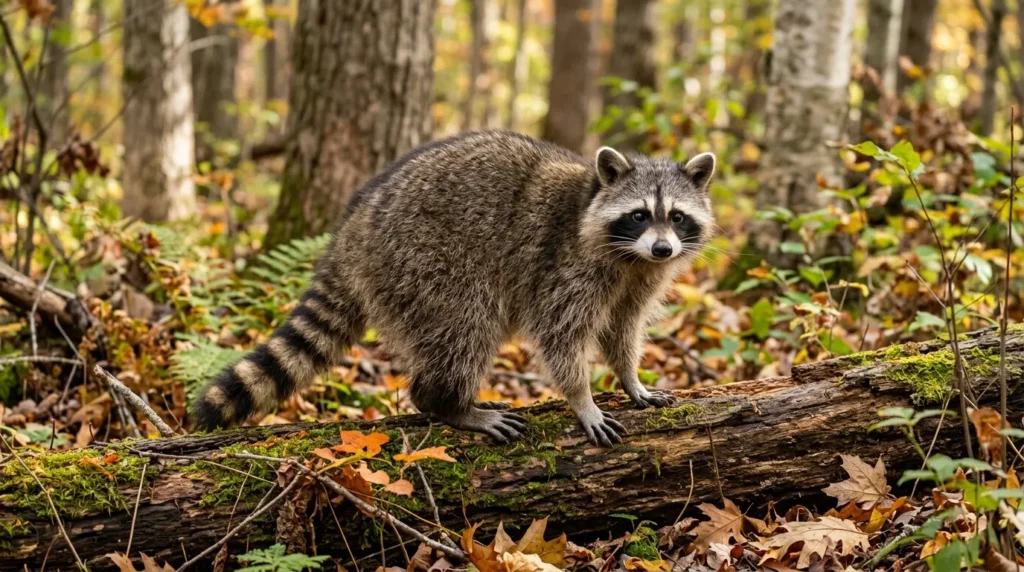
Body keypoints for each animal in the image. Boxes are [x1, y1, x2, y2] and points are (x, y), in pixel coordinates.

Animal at [192, 131, 716, 446]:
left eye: (676, 217)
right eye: (639, 215)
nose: (664, 249)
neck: (630, 256)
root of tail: (353, 226)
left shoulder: (638, 279)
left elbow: (623, 329)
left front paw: (630, 378)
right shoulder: (565, 266)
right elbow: (560, 337)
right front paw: (582, 398)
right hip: (425, 262)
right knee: (465, 329)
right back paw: (447, 403)